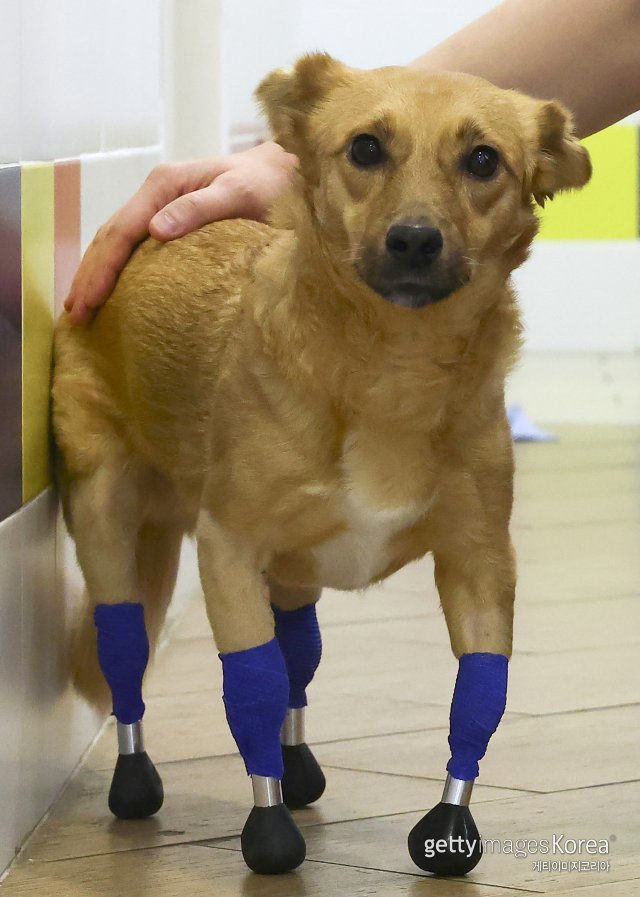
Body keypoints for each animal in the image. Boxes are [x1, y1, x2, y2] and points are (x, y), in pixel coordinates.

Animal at [51, 54, 592, 876]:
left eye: (482, 160)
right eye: (365, 148)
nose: (414, 240)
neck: (393, 365)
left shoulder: (480, 562)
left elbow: (478, 697)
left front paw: (450, 823)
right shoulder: (229, 549)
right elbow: (252, 684)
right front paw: (268, 830)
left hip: (293, 568)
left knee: (298, 654)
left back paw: (298, 763)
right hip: (108, 524)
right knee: (125, 653)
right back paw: (135, 778)